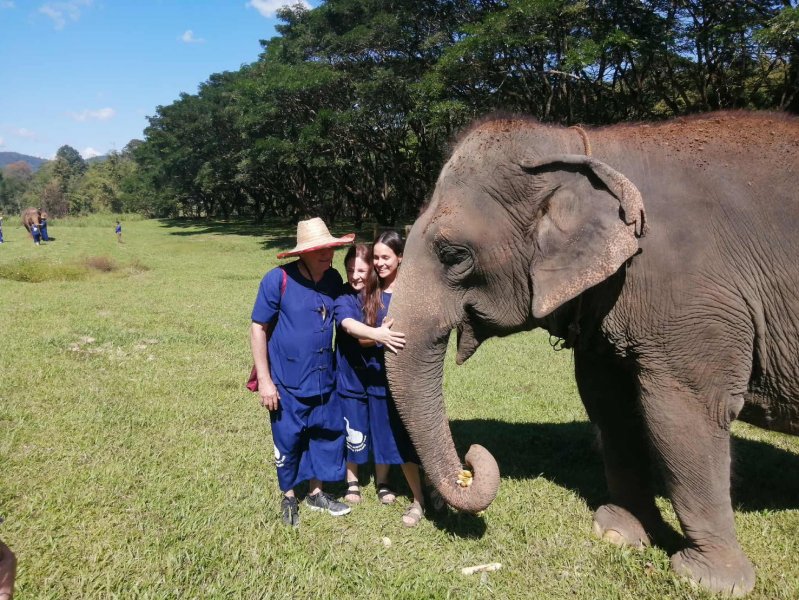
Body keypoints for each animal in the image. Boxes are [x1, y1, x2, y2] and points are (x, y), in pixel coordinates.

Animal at [385, 111, 799, 597]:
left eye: (454, 255)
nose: (471, 458)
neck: (584, 146)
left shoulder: (696, 304)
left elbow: (685, 413)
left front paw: (708, 580)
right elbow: (608, 402)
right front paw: (616, 533)